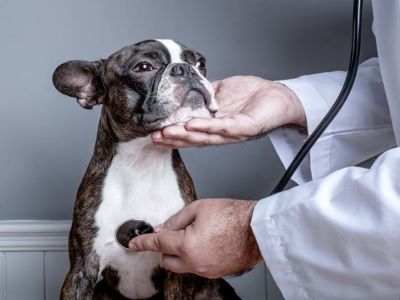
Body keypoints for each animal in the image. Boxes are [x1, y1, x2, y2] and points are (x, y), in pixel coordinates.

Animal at [53, 39, 241, 300]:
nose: (185, 69)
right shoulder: (81, 270)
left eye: (200, 63)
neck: (142, 162)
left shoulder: (178, 271)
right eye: (143, 67)